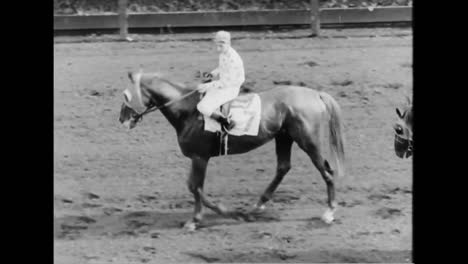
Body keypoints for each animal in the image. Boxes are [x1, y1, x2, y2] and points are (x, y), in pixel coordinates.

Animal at [119, 71, 346, 230]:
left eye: (126, 96)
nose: (122, 120)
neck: (188, 110)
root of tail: (316, 94)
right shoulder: (197, 158)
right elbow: (194, 187)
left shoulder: (200, 157)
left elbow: (195, 187)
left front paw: (204, 217)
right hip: (284, 138)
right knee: (283, 167)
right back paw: (258, 205)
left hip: (309, 142)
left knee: (327, 171)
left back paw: (329, 212)